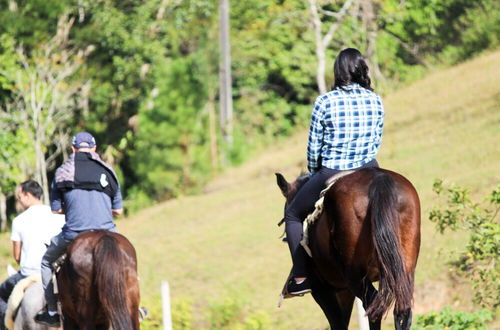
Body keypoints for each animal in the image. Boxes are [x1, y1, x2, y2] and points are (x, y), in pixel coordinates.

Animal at [276, 168, 420, 330]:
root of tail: (379, 178)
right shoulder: (344, 291)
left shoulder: (322, 289)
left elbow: (337, 323)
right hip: (405, 269)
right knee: (402, 311)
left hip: (354, 274)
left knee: (373, 306)